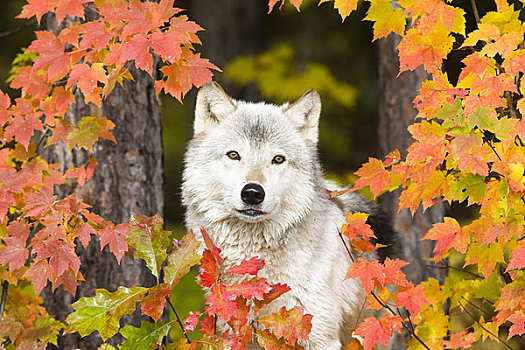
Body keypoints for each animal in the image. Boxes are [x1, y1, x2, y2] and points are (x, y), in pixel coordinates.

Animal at [181, 82, 398, 350]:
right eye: (233, 155)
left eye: (278, 159)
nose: (252, 193)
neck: (256, 260)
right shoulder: (235, 334)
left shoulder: (319, 336)